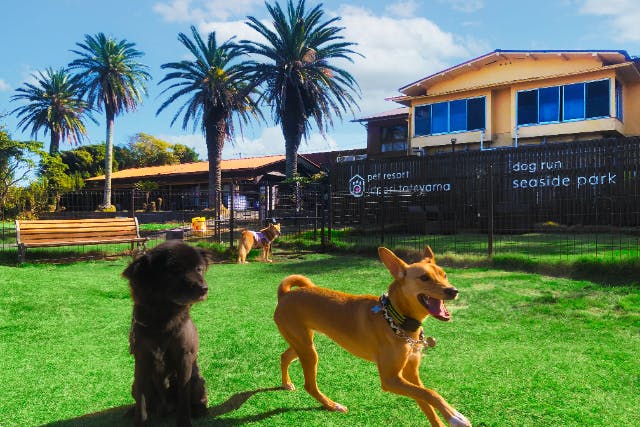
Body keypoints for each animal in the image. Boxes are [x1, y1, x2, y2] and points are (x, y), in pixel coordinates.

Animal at [122, 242, 215, 426]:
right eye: (175, 270)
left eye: (199, 269)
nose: (204, 289)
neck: (162, 320)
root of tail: (165, 408)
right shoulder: (141, 359)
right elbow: (141, 402)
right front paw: (138, 420)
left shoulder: (184, 358)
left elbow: (183, 399)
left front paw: (184, 422)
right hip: (134, 386)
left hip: (198, 382)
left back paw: (200, 412)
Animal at [274, 246, 470, 427]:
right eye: (424, 278)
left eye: (444, 275)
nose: (453, 290)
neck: (397, 320)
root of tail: (285, 294)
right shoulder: (390, 379)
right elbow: (430, 393)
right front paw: (455, 416)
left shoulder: (411, 373)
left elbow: (425, 401)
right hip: (308, 350)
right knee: (309, 385)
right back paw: (332, 405)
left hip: (303, 342)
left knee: (284, 356)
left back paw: (286, 383)